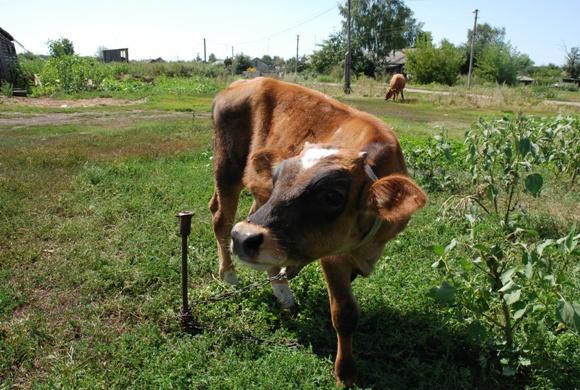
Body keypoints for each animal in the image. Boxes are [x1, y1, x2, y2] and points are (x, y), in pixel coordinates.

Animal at [210, 77, 426, 386]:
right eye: (277, 178)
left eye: (332, 196)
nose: (241, 238)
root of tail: (244, 81)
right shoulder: (332, 256)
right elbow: (344, 313)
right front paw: (345, 373)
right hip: (226, 167)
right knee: (221, 218)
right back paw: (229, 275)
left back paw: (282, 293)